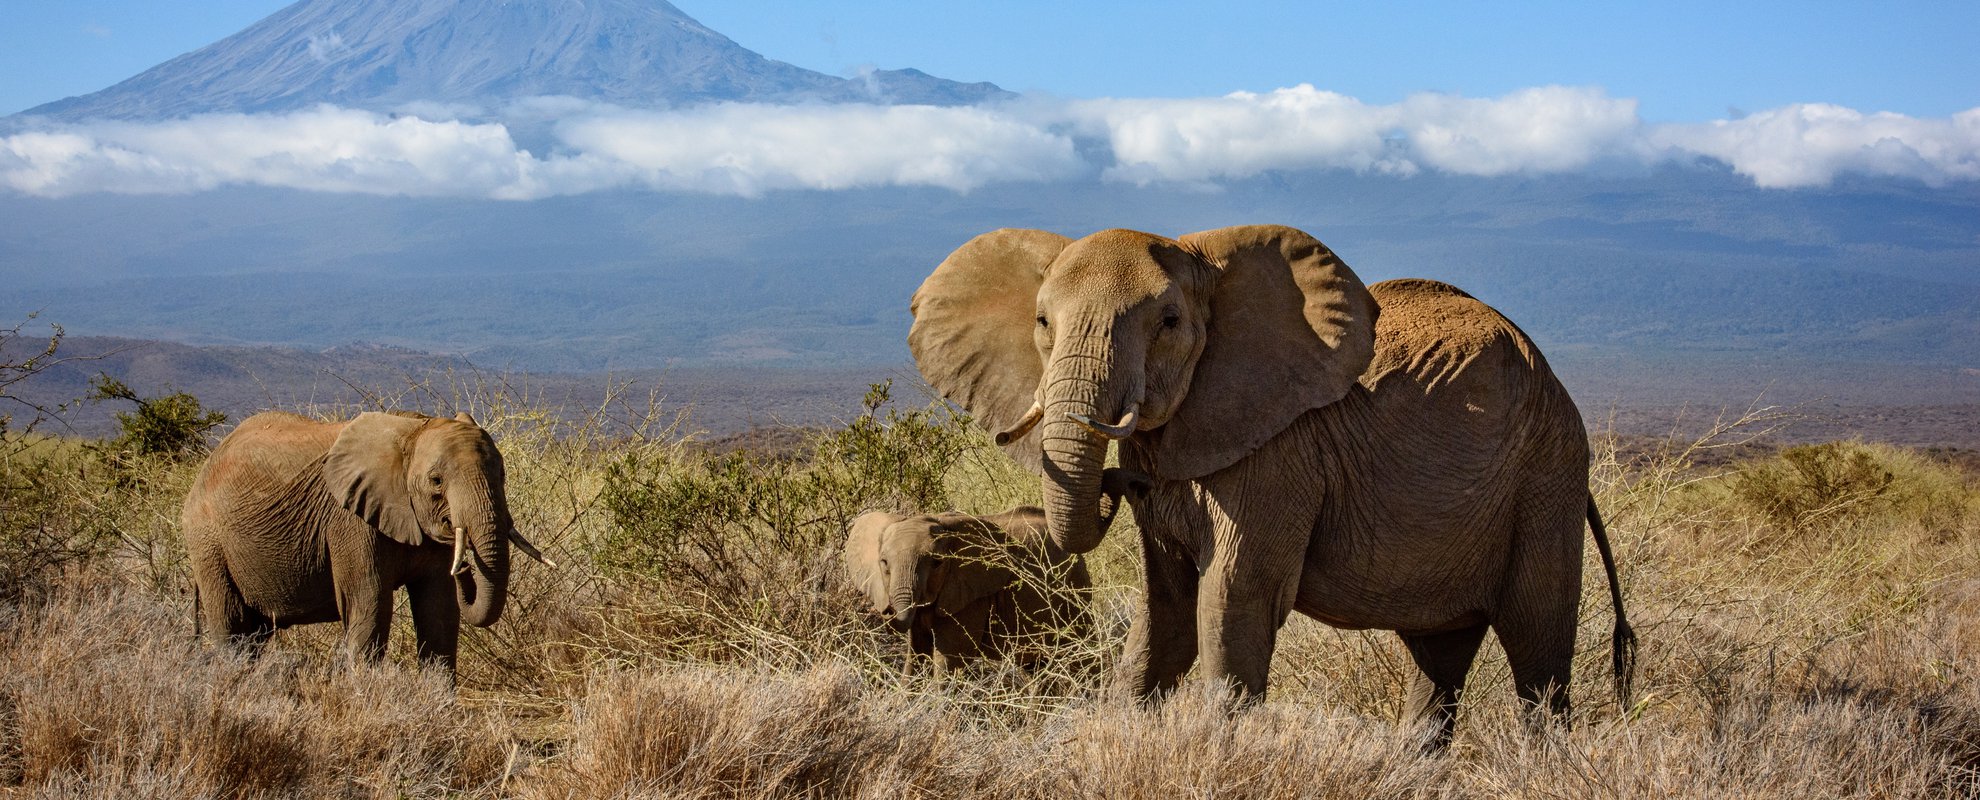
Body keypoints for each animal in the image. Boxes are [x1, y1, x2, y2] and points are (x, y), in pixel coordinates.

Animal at [180, 409, 558, 673]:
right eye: (436, 481)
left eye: (502, 473)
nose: (464, 569)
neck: (412, 430)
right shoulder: (350, 522)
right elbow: (370, 606)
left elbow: (439, 612)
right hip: (207, 542)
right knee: (233, 629)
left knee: (256, 633)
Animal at [843, 469, 1156, 673]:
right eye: (884, 564)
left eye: (937, 563)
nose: (1138, 484)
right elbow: (915, 653)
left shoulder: (971, 595)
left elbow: (950, 658)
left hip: (1075, 591)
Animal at [906, 223, 1631, 744]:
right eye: (1041, 323)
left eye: (1169, 323)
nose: (1119, 479)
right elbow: (1166, 613)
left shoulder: (1279, 455)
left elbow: (1231, 602)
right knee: (1441, 657)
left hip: (1545, 478)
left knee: (1537, 652)